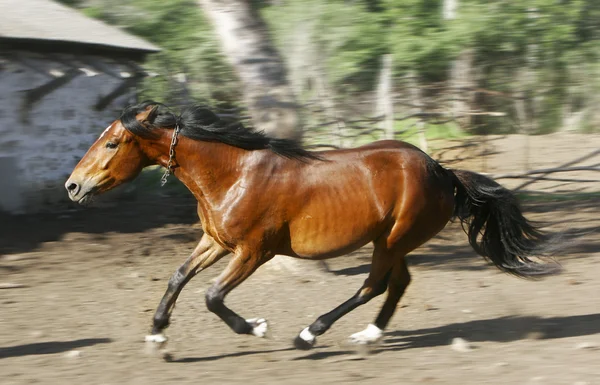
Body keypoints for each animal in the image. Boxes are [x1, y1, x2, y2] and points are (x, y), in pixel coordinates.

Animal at [65, 100, 556, 350]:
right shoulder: (216, 241)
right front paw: (156, 333)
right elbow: (178, 277)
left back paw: (309, 333)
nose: (72, 186)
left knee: (373, 286)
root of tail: (443, 172)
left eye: (112, 143)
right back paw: (368, 334)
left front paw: (256, 327)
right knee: (397, 284)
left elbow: (211, 296)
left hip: (393, 240)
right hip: (391, 241)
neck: (233, 174)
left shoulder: (254, 251)